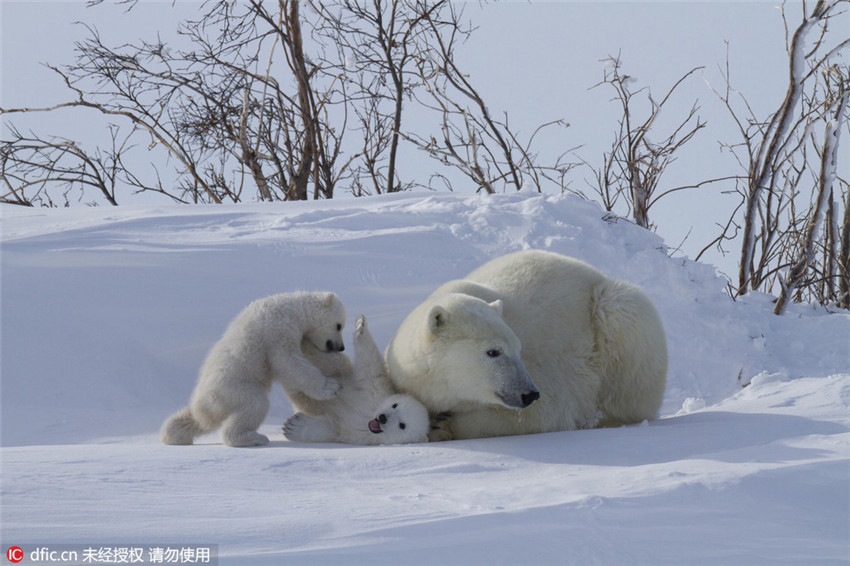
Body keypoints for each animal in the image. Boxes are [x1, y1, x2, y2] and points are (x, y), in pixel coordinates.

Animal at [161, 292, 350, 448]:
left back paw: (174, 435)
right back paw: (253, 438)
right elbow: (288, 360)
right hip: (235, 388)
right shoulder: (279, 329)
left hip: (213, 402)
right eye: (339, 325)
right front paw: (331, 387)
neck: (294, 308)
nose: (341, 347)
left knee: (196, 420)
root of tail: (205, 402)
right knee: (255, 404)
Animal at [284, 318, 430, 446]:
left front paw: (292, 426)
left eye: (402, 425)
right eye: (395, 404)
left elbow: (333, 428)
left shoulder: (359, 434)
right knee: (329, 360)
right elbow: (371, 367)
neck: (369, 415)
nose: (383, 417)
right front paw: (361, 327)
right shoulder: (376, 392)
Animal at [386, 251, 668, 442]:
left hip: (611, 314)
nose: (529, 393)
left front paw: (443, 426)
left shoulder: (550, 376)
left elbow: (539, 414)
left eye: (518, 350)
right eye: (493, 352)